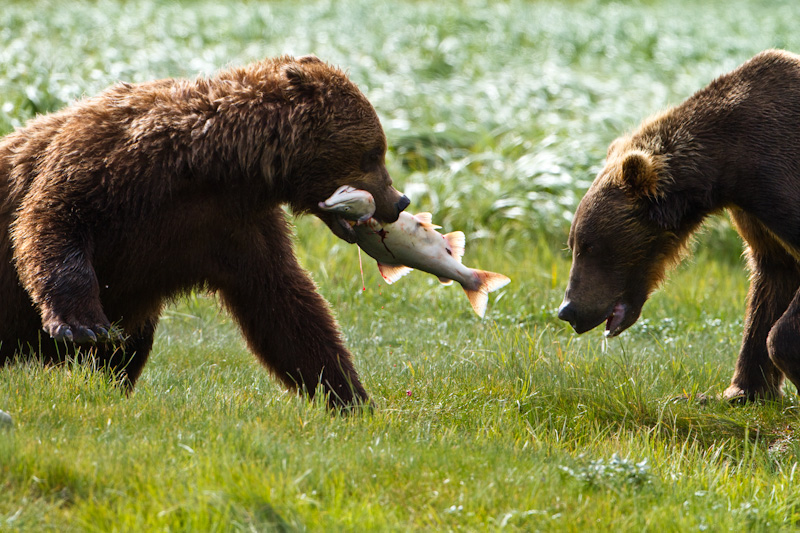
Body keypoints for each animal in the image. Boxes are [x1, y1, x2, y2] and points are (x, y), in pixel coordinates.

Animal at [0, 55, 410, 408]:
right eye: (373, 154)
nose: (399, 200)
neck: (212, 165)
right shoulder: (109, 167)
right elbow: (54, 220)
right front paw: (82, 325)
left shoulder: (232, 227)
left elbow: (285, 306)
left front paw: (350, 396)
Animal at [556, 50, 800, 400]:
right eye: (574, 244)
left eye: (589, 245)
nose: (568, 310)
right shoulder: (756, 211)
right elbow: (772, 277)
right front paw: (740, 392)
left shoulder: (777, 174)